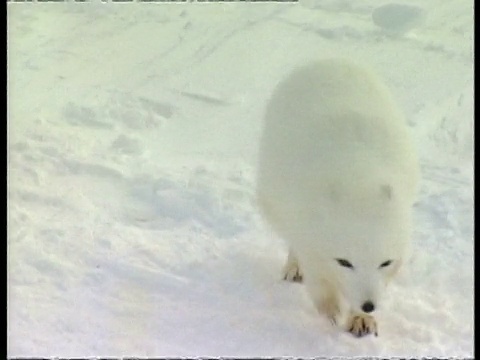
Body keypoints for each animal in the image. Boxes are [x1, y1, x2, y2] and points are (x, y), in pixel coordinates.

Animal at [256, 59, 418, 338]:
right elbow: (319, 282)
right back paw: (293, 268)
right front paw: (331, 310)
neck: (358, 176)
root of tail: (326, 61)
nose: (369, 305)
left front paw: (361, 318)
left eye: (384, 262)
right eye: (344, 262)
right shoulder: (309, 236)